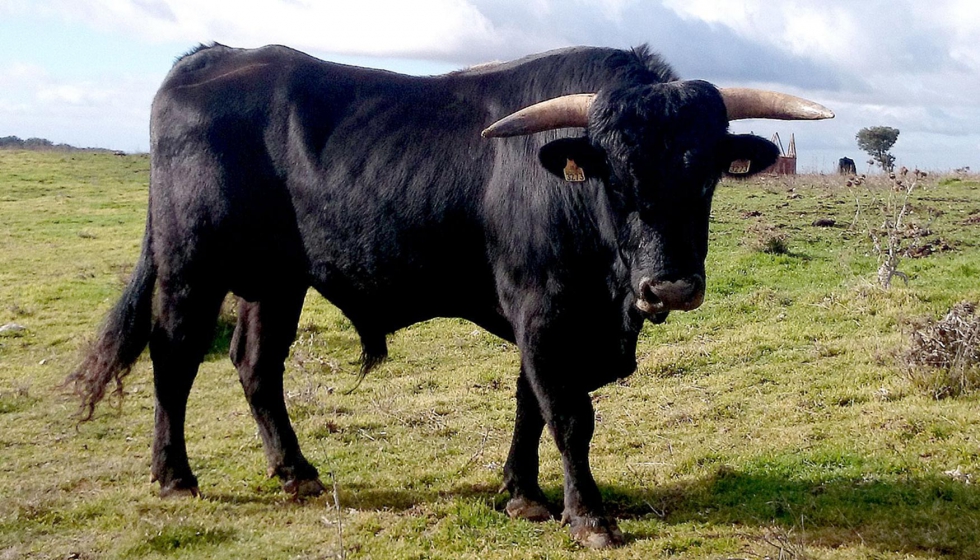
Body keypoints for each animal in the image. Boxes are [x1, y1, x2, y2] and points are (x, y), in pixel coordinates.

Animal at [67, 43, 836, 548]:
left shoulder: (546, 324)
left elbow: (529, 406)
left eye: (705, 175)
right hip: (190, 267)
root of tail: (212, 56)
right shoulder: (544, 312)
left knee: (257, 366)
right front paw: (588, 516)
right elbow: (569, 416)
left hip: (277, 281)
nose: (669, 284)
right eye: (613, 176)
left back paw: (296, 472)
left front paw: (522, 495)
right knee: (173, 359)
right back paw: (175, 475)